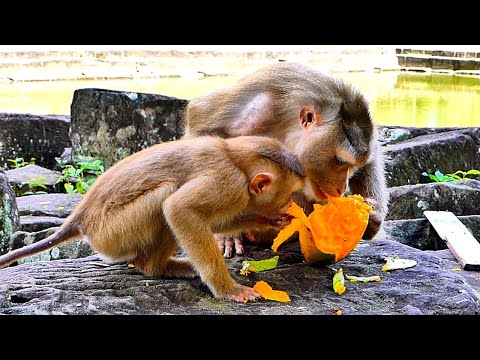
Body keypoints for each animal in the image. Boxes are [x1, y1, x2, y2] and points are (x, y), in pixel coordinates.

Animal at [0, 136, 304, 302]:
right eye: (289, 192)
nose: (290, 203)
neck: (235, 159)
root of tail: (80, 218)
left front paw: (267, 221)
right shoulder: (228, 183)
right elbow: (180, 209)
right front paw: (227, 290)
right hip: (112, 234)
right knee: (164, 196)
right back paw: (157, 267)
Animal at [182, 62, 388, 258]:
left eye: (352, 166)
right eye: (340, 161)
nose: (342, 188)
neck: (287, 125)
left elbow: (373, 153)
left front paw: (373, 217)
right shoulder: (252, 105)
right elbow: (201, 126)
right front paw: (226, 235)